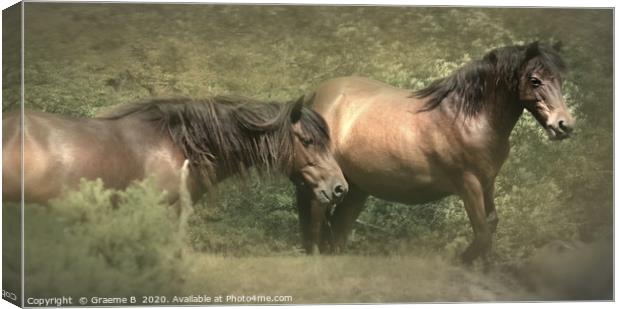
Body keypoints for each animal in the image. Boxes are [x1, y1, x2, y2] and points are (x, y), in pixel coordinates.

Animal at [298, 41, 572, 262]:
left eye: (561, 80)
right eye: (535, 80)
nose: (564, 125)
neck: (470, 118)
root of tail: (315, 96)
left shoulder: (487, 182)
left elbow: (492, 224)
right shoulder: (468, 183)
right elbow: (483, 232)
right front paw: (460, 262)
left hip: (356, 187)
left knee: (339, 225)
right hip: (327, 182)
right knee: (317, 213)